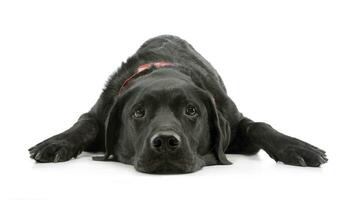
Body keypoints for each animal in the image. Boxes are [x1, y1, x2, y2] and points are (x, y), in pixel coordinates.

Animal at [29, 34, 330, 173]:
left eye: (191, 110)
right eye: (138, 112)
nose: (165, 142)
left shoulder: (237, 124)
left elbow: (260, 126)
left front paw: (298, 147)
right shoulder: (99, 112)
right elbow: (84, 124)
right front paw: (56, 142)